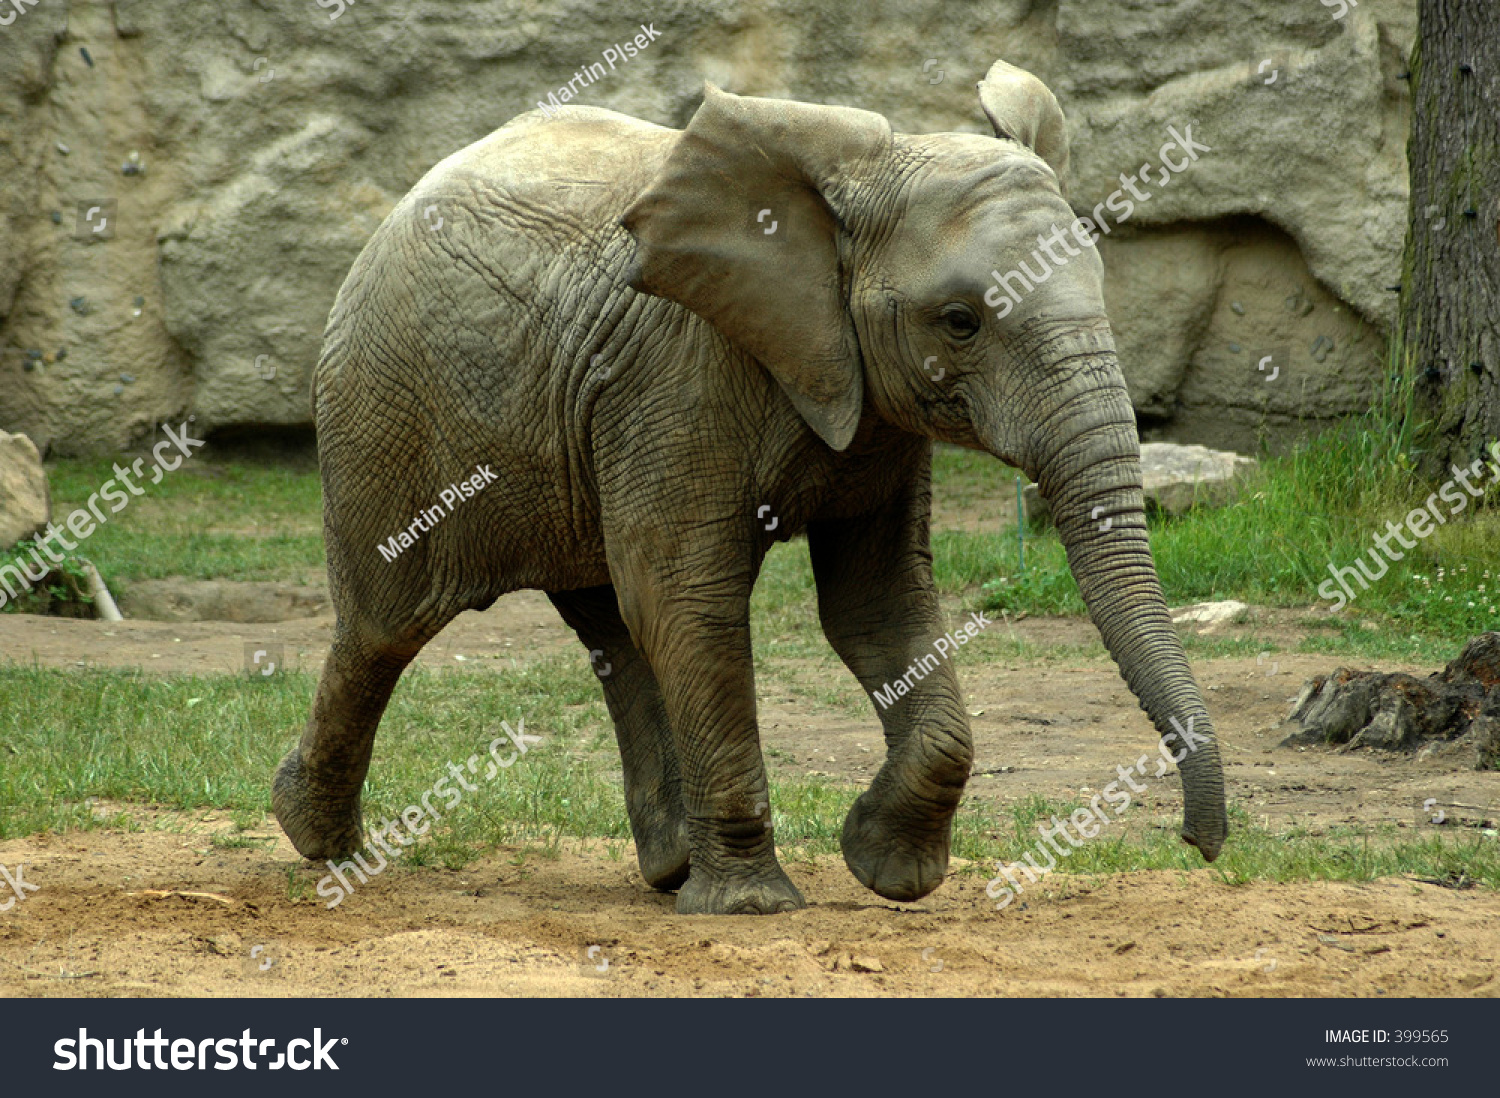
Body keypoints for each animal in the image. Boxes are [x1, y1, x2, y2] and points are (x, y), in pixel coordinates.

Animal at [273, 62, 1230, 918]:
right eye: (960, 322)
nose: (1198, 845)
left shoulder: (868, 409)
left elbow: (877, 604)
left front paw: (886, 873)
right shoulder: (679, 373)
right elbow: (692, 597)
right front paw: (752, 907)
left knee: (614, 625)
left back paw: (666, 869)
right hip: (387, 408)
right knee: (386, 624)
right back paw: (320, 842)